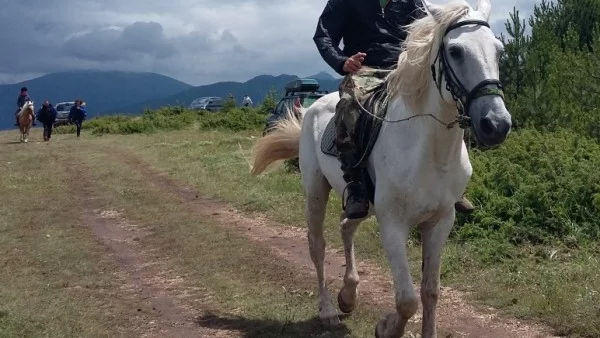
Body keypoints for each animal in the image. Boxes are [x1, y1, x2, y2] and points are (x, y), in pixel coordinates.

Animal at [252, 0, 510, 336]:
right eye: (455, 51)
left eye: (499, 51)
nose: (496, 124)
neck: (430, 150)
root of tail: (310, 108)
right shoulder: (393, 225)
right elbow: (407, 300)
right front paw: (386, 327)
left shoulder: (441, 222)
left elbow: (430, 291)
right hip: (316, 190)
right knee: (317, 245)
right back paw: (328, 310)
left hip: (363, 204)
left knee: (346, 226)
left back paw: (348, 295)